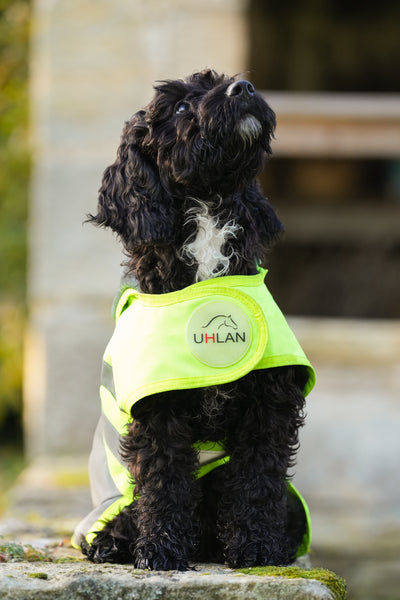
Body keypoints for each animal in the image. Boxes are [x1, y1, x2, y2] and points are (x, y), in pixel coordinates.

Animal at [84, 68, 308, 568]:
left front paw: (258, 546)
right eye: (182, 107)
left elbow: (258, 479)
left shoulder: (270, 402)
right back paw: (114, 540)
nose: (244, 88)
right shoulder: (156, 409)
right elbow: (164, 480)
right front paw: (161, 549)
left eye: (224, 81)